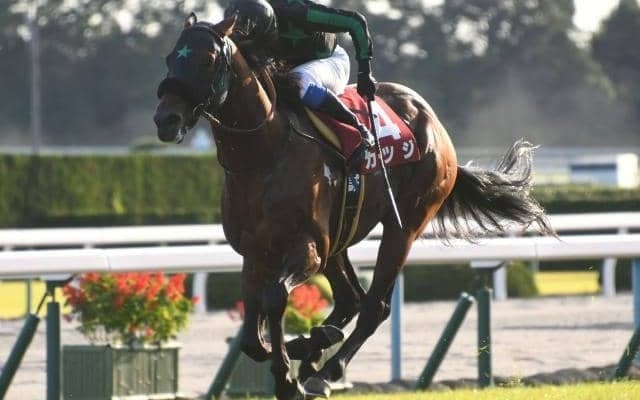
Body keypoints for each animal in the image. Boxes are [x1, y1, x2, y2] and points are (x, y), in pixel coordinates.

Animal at [154, 15, 553, 400]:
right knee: (350, 300)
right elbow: (251, 337)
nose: (165, 120)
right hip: (341, 237)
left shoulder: (307, 247)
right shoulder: (255, 252)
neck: (265, 155)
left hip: (404, 225)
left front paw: (288, 378)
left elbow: (275, 298)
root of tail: (434, 123)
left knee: (374, 306)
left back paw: (324, 372)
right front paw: (299, 351)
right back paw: (317, 349)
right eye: (171, 57)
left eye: (207, 59)